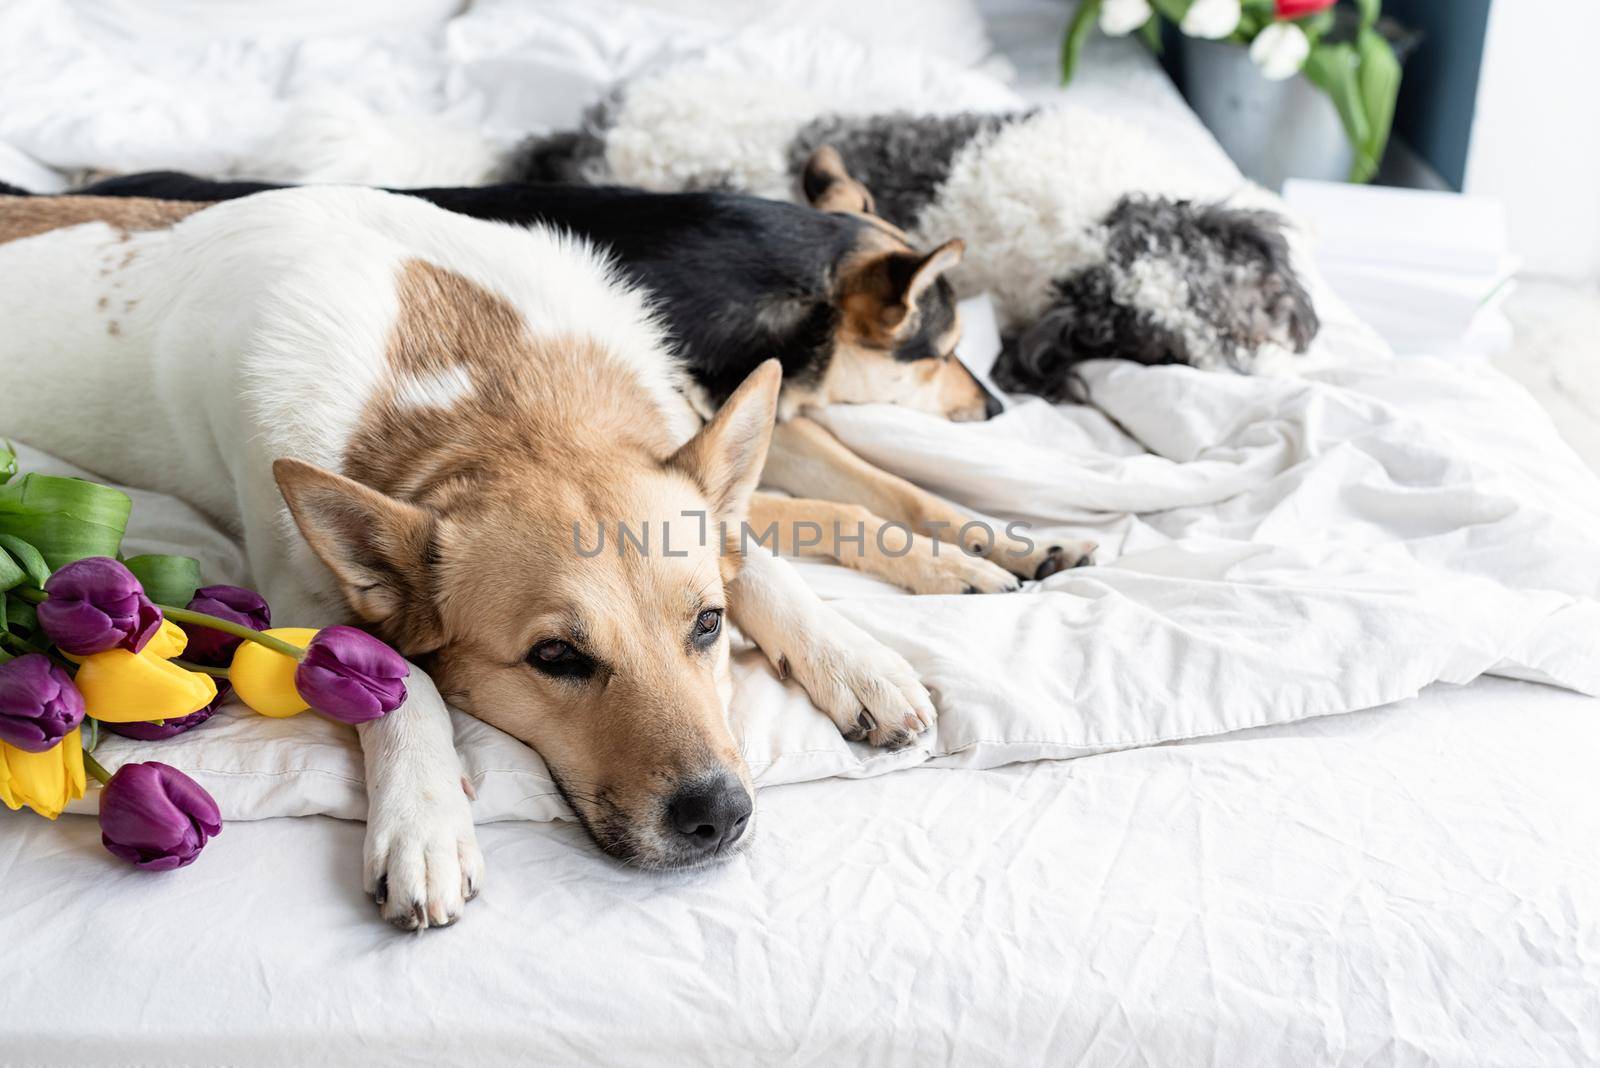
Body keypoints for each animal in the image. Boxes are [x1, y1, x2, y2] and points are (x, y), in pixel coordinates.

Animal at [0, 189, 934, 927]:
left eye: (708, 626)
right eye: (555, 657)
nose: (720, 817)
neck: (494, 394)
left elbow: (765, 558)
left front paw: (859, 660)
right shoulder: (303, 602)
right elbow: (400, 681)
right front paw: (424, 822)